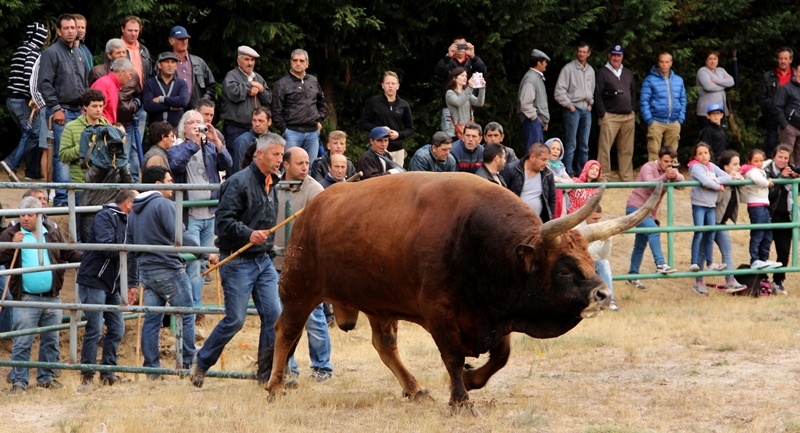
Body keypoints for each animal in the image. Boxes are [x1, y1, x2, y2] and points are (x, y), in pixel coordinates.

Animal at [266, 171, 660, 412]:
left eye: (589, 260)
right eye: (563, 268)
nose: (602, 295)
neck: (483, 243)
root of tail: (312, 207)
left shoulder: (496, 315)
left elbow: (501, 356)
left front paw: (472, 381)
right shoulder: (440, 313)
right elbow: (453, 357)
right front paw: (461, 400)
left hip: (379, 305)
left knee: (384, 345)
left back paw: (414, 388)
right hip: (299, 287)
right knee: (285, 332)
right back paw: (276, 386)